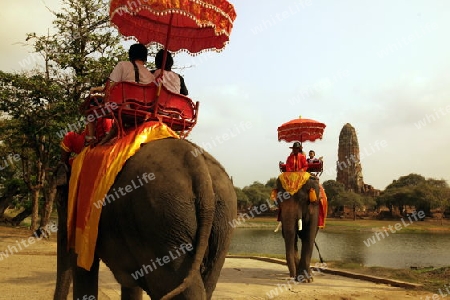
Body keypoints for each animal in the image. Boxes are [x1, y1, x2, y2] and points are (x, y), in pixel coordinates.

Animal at [53, 138, 237, 300]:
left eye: (60, 200)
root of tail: (199, 167)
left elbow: (83, 270)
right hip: (221, 222)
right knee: (208, 281)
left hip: (162, 221)